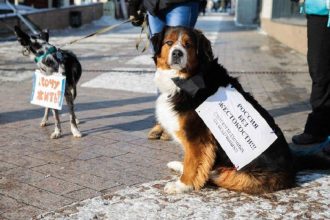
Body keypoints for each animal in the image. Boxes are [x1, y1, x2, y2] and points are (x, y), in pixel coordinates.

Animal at [153, 26, 330, 194]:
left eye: (188, 45)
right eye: (169, 42)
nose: (177, 53)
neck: (187, 78)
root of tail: (292, 163)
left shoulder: (197, 136)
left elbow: (193, 163)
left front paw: (182, 185)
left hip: (242, 176)